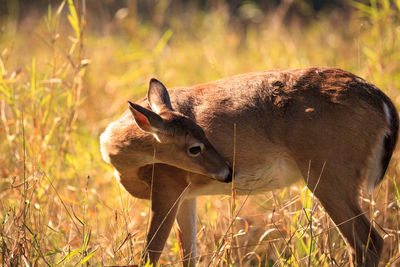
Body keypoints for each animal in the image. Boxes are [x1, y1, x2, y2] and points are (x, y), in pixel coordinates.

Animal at [101, 68, 396, 266]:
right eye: (196, 145)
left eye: (204, 135)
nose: (228, 171)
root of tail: (383, 101)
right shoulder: (187, 195)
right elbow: (188, 255)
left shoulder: (168, 185)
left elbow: (150, 253)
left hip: (327, 173)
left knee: (368, 240)